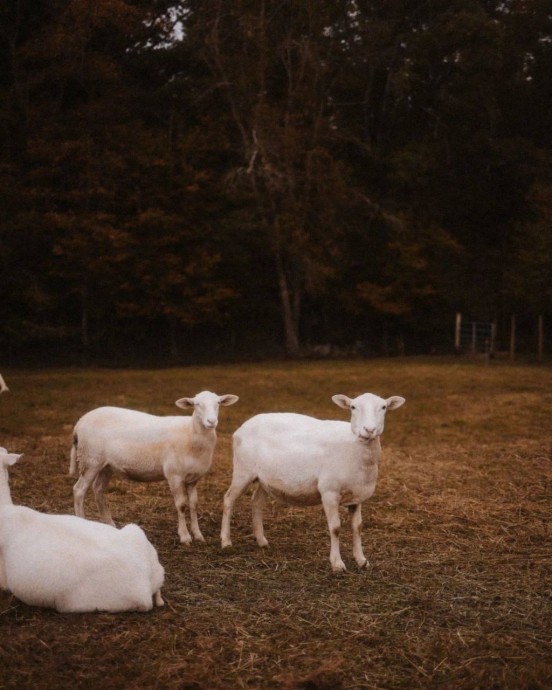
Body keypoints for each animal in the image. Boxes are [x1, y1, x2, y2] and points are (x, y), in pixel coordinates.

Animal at [69, 392, 239, 544]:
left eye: (218, 403)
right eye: (196, 404)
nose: (211, 421)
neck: (191, 434)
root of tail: (80, 421)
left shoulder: (193, 478)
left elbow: (193, 505)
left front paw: (198, 535)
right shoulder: (174, 475)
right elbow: (181, 505)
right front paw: (185, 537)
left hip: (106, 465)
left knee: (98, 489)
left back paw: (110, 525)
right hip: (90, 459)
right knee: (79, 490)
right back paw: (81, 523)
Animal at [220, 390, 406, 572]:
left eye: (383, 407)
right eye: (353, 407)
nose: (369, 429)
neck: (354, 448)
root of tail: (243, 426)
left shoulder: (356, 496)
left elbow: (357, 527)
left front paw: (361, 560)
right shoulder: (329, 492)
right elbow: (335, 528)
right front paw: (337, 564)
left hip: (265, 478)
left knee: (256, 502)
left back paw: (262, 541)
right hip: (243, 470)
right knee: (229, 499)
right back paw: (226, 541)